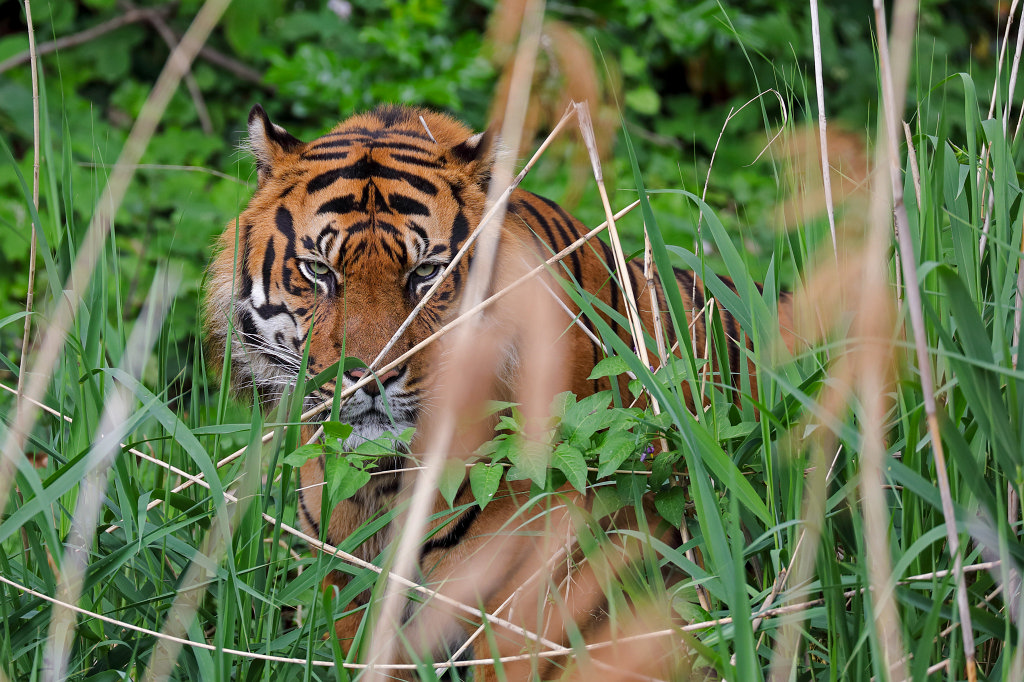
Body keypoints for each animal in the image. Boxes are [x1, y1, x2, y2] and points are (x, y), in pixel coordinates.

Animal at [203, 103, 796, 680]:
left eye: (426, 272)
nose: (370, 376)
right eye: (317, 270)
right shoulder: (345, 586)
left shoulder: (519, 606)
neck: (384, 481)